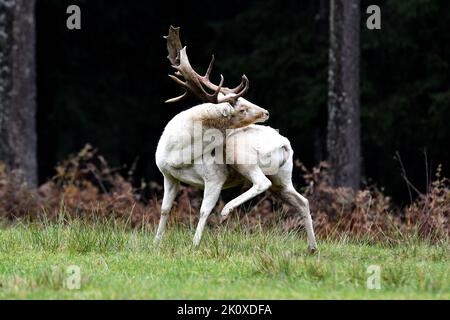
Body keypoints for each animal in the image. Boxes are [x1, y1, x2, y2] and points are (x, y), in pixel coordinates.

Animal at [155, 26, 316, 252]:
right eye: (242, 108)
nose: (266, 112)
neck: (177, 154)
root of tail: (284, 144)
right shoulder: (168, 175)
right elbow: (164, 209)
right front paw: (156, 243)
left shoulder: (215, 176)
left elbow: (204, 210)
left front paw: (194, 245)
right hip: (283, 177)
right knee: (302, 201)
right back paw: (312, 248)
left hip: (242, 156)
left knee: (262, 182)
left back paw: (226, 212)